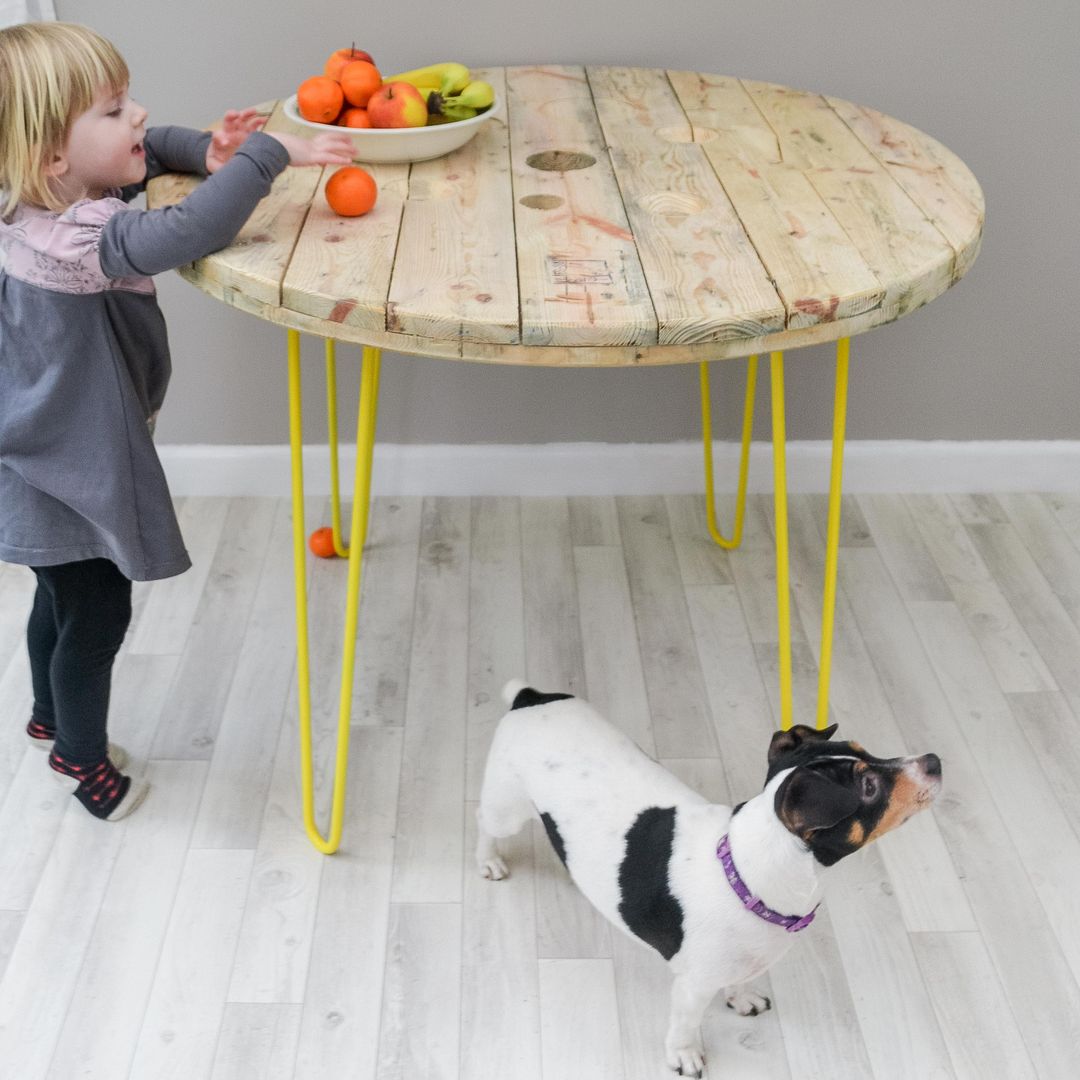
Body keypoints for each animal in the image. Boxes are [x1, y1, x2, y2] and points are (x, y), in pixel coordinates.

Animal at [477, 678, 941, 1075]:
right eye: (869, 786)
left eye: (868, 751)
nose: (934, 760)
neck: (745, 877)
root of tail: (530, 698)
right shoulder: (692, 985)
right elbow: (685, 1026)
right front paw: (685, 1057)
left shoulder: (740, 962)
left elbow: (739, 982)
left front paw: (742, 998)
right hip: (506, 809)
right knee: (485, 825)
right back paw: (489, 862)